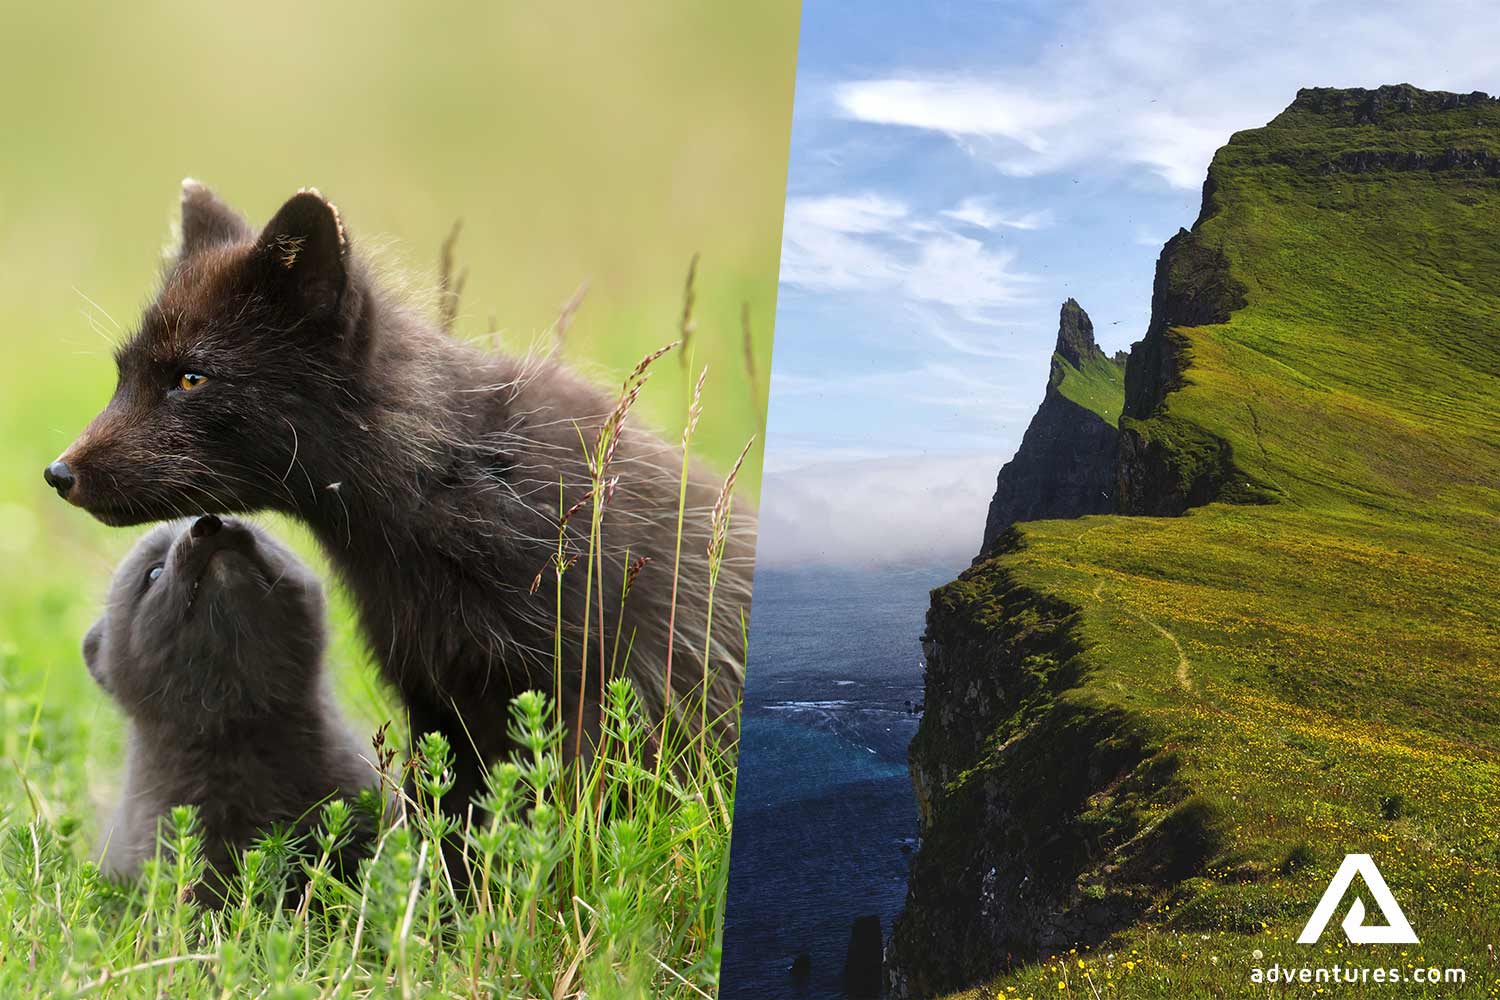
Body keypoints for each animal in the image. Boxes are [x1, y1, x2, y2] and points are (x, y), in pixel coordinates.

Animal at [48, 181, 754, 814]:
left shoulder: (595, 687)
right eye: (123, 372)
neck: (457, 476)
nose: (58, 473)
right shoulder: (437, 696)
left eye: (191, 377)